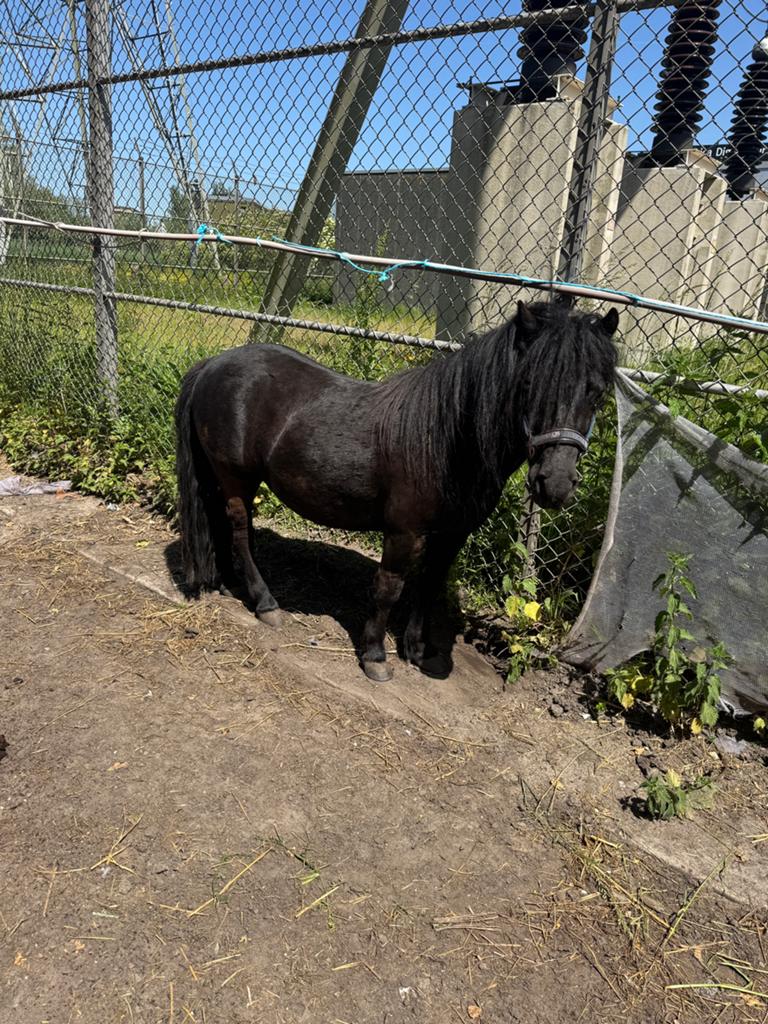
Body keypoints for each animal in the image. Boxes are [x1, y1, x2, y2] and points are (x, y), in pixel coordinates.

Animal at [174, 300, 619, 682]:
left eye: (597, 391)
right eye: (528, 384)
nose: (555, 484)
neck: (445, 439)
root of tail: (214, 364)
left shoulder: (452, 535)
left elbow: (429, 586)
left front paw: (418, 650)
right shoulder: (404, 532)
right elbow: (389, 588)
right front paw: (374, 655)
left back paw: (230, 583)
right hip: (237, 478)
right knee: (239, 530)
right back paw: (265, 602)